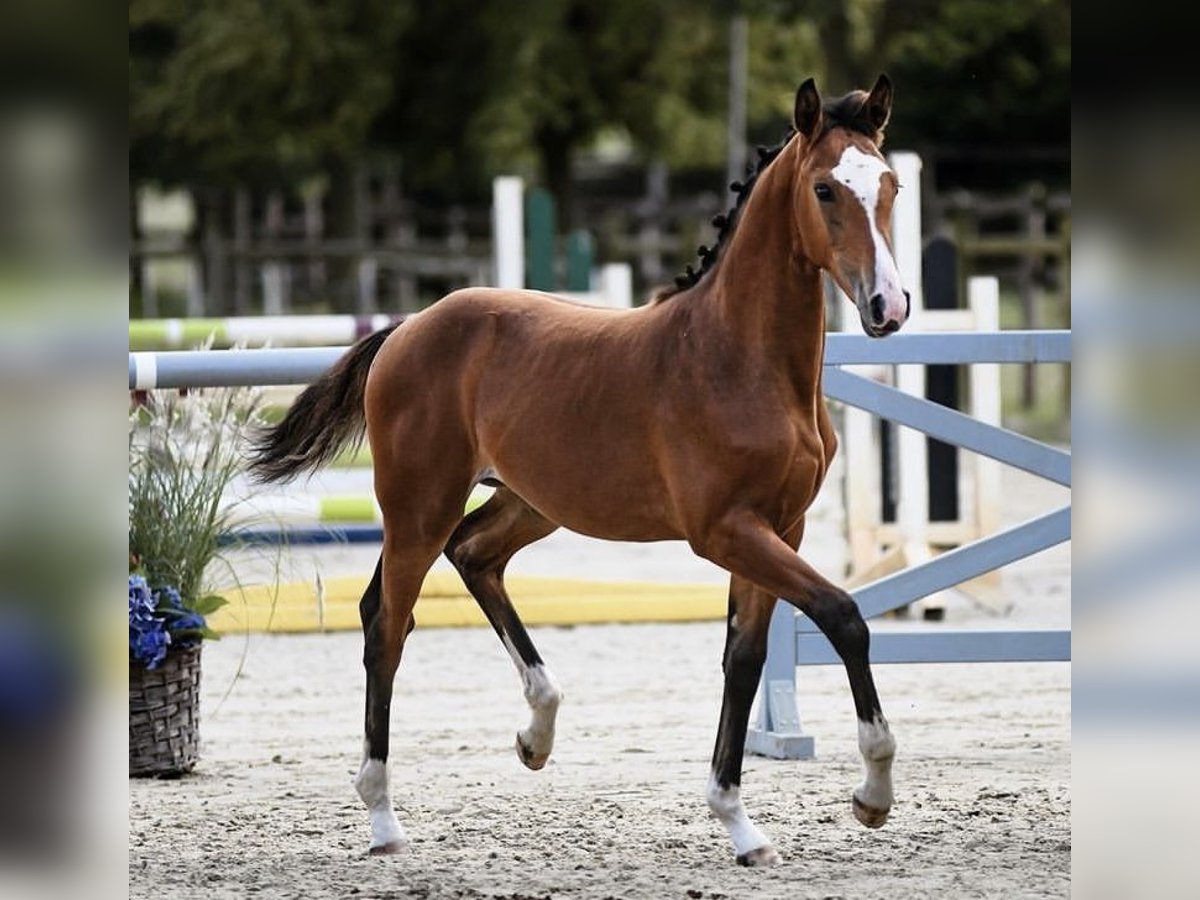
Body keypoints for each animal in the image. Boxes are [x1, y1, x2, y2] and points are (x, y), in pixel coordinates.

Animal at [250, 75, 907, 868]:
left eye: (892, 185)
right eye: (824, 189)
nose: (887, 307)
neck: (738, 359)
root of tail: (407, 327)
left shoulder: (782, 528)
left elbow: (744, 660)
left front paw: (741, 827)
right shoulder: (726, 532)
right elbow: (843, 617)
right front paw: (872, 796)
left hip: (532, 503)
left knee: (473, 555)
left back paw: (537, 732)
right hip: (418, 507)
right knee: (388, 621)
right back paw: (383, 819)